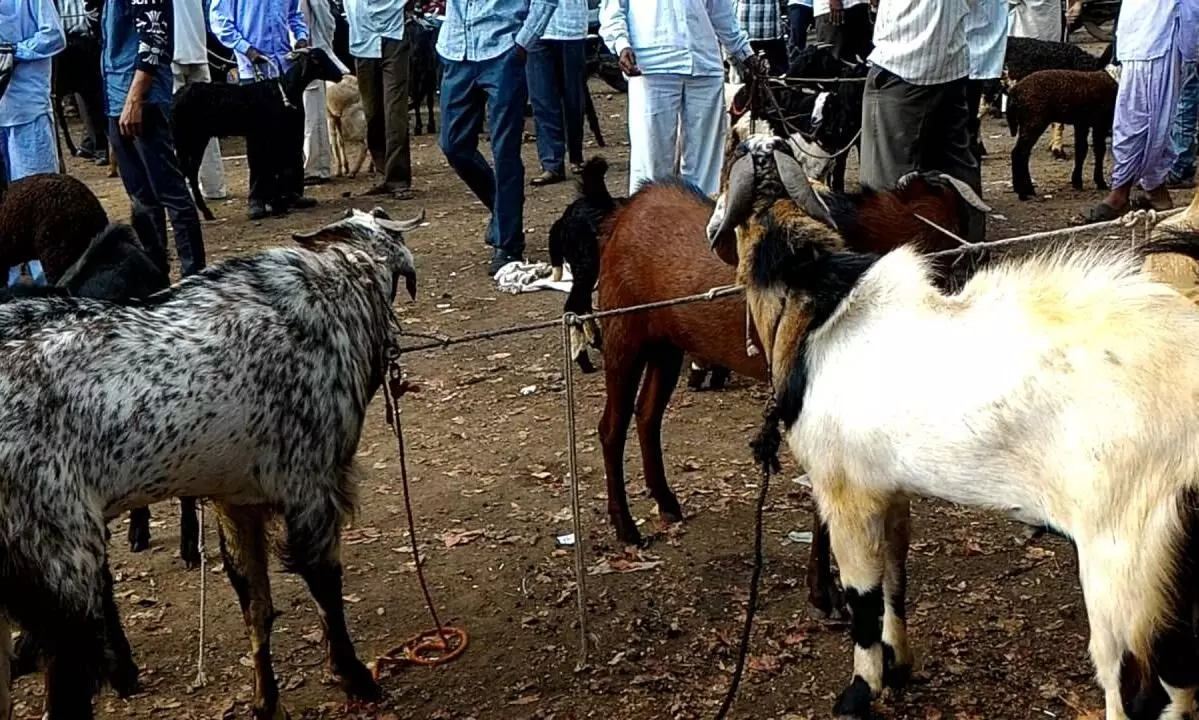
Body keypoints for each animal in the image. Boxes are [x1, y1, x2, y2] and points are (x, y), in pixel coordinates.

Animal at [0, 206, 422, 718]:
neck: (337, 287)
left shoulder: (234, 500)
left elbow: (256, 604)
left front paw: (265, 701)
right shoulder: (313, 489)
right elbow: (325, 590)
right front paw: (355, 677)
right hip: (60, 564)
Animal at [171, 46, 345, 219]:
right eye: (316, 59)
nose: (340, 75)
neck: (283, 90)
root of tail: (176, 97)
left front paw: (278, 204)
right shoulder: (270, 135)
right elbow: (272, 169)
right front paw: (277, 206)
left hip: (194, 139)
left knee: (190, 172)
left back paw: (206, 214)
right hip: (190, 138)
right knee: (186, 172)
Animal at [705, 133, 1199, 718]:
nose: (760, 142)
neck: (821, 307)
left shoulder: (846, 493)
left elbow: (863, 597)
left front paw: (860, 689)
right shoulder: (889, 488)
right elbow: (894, 579)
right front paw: (899, 664)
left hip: (1129, 560)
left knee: (1144, 683)